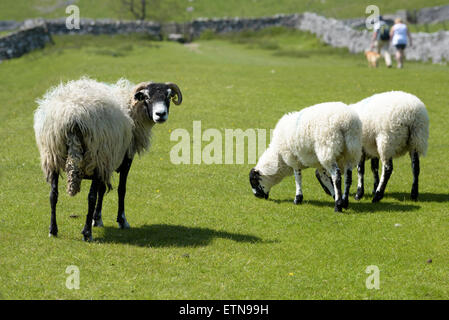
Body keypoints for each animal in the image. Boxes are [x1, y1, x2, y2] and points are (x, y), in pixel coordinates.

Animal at [33, 77, 182, 240]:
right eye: (147, 97)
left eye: (168, 96)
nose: (160, 114)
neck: (131, 108)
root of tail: (72, 116)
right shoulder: (122, 158)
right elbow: (121, 189)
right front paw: (121, 220)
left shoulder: (106, 161)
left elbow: (102, 189)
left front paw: (97, 219)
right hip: (95, 154)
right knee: (90, 196)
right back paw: (87, 233)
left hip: (52, 155)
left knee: (53, 194)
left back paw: (53, 230)